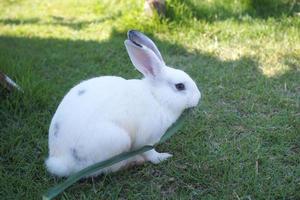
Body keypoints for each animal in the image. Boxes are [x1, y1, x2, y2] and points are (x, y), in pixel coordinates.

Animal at [45, 29, 200, 177]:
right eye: (180, 86)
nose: (198, 97)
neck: (156, 97)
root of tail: (60, 161)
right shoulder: (146, 139)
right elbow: (150, 153)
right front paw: (162, 157)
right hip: (118, 140)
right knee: (107, 169)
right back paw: (134, 161)